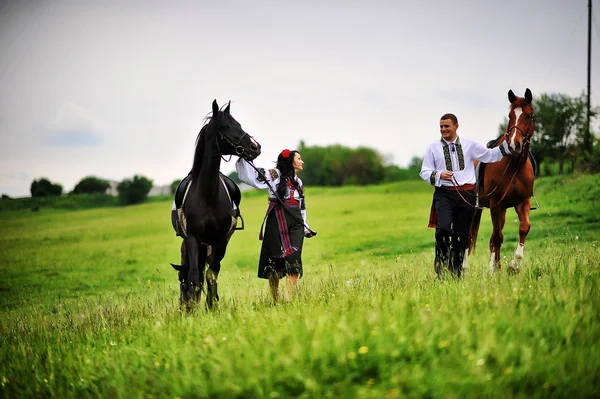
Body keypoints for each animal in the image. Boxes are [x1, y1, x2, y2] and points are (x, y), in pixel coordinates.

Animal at [171, 100, 260, 310]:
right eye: (225, 127)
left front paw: (211, 306)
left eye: (239, 124)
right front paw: (193, 308)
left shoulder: (220, 240)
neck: (208, 193)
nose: (254, 147)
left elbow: (212, 273)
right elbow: (194, 276)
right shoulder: (193, 238)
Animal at [468, 88, 536, 276]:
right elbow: (498, 237)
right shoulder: (496, 205)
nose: (514, 145)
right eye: (510, 116)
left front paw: (514, 265)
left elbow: (524, 227)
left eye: (528, 115)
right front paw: (494, 271)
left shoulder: (522, 202)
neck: (513, 166)